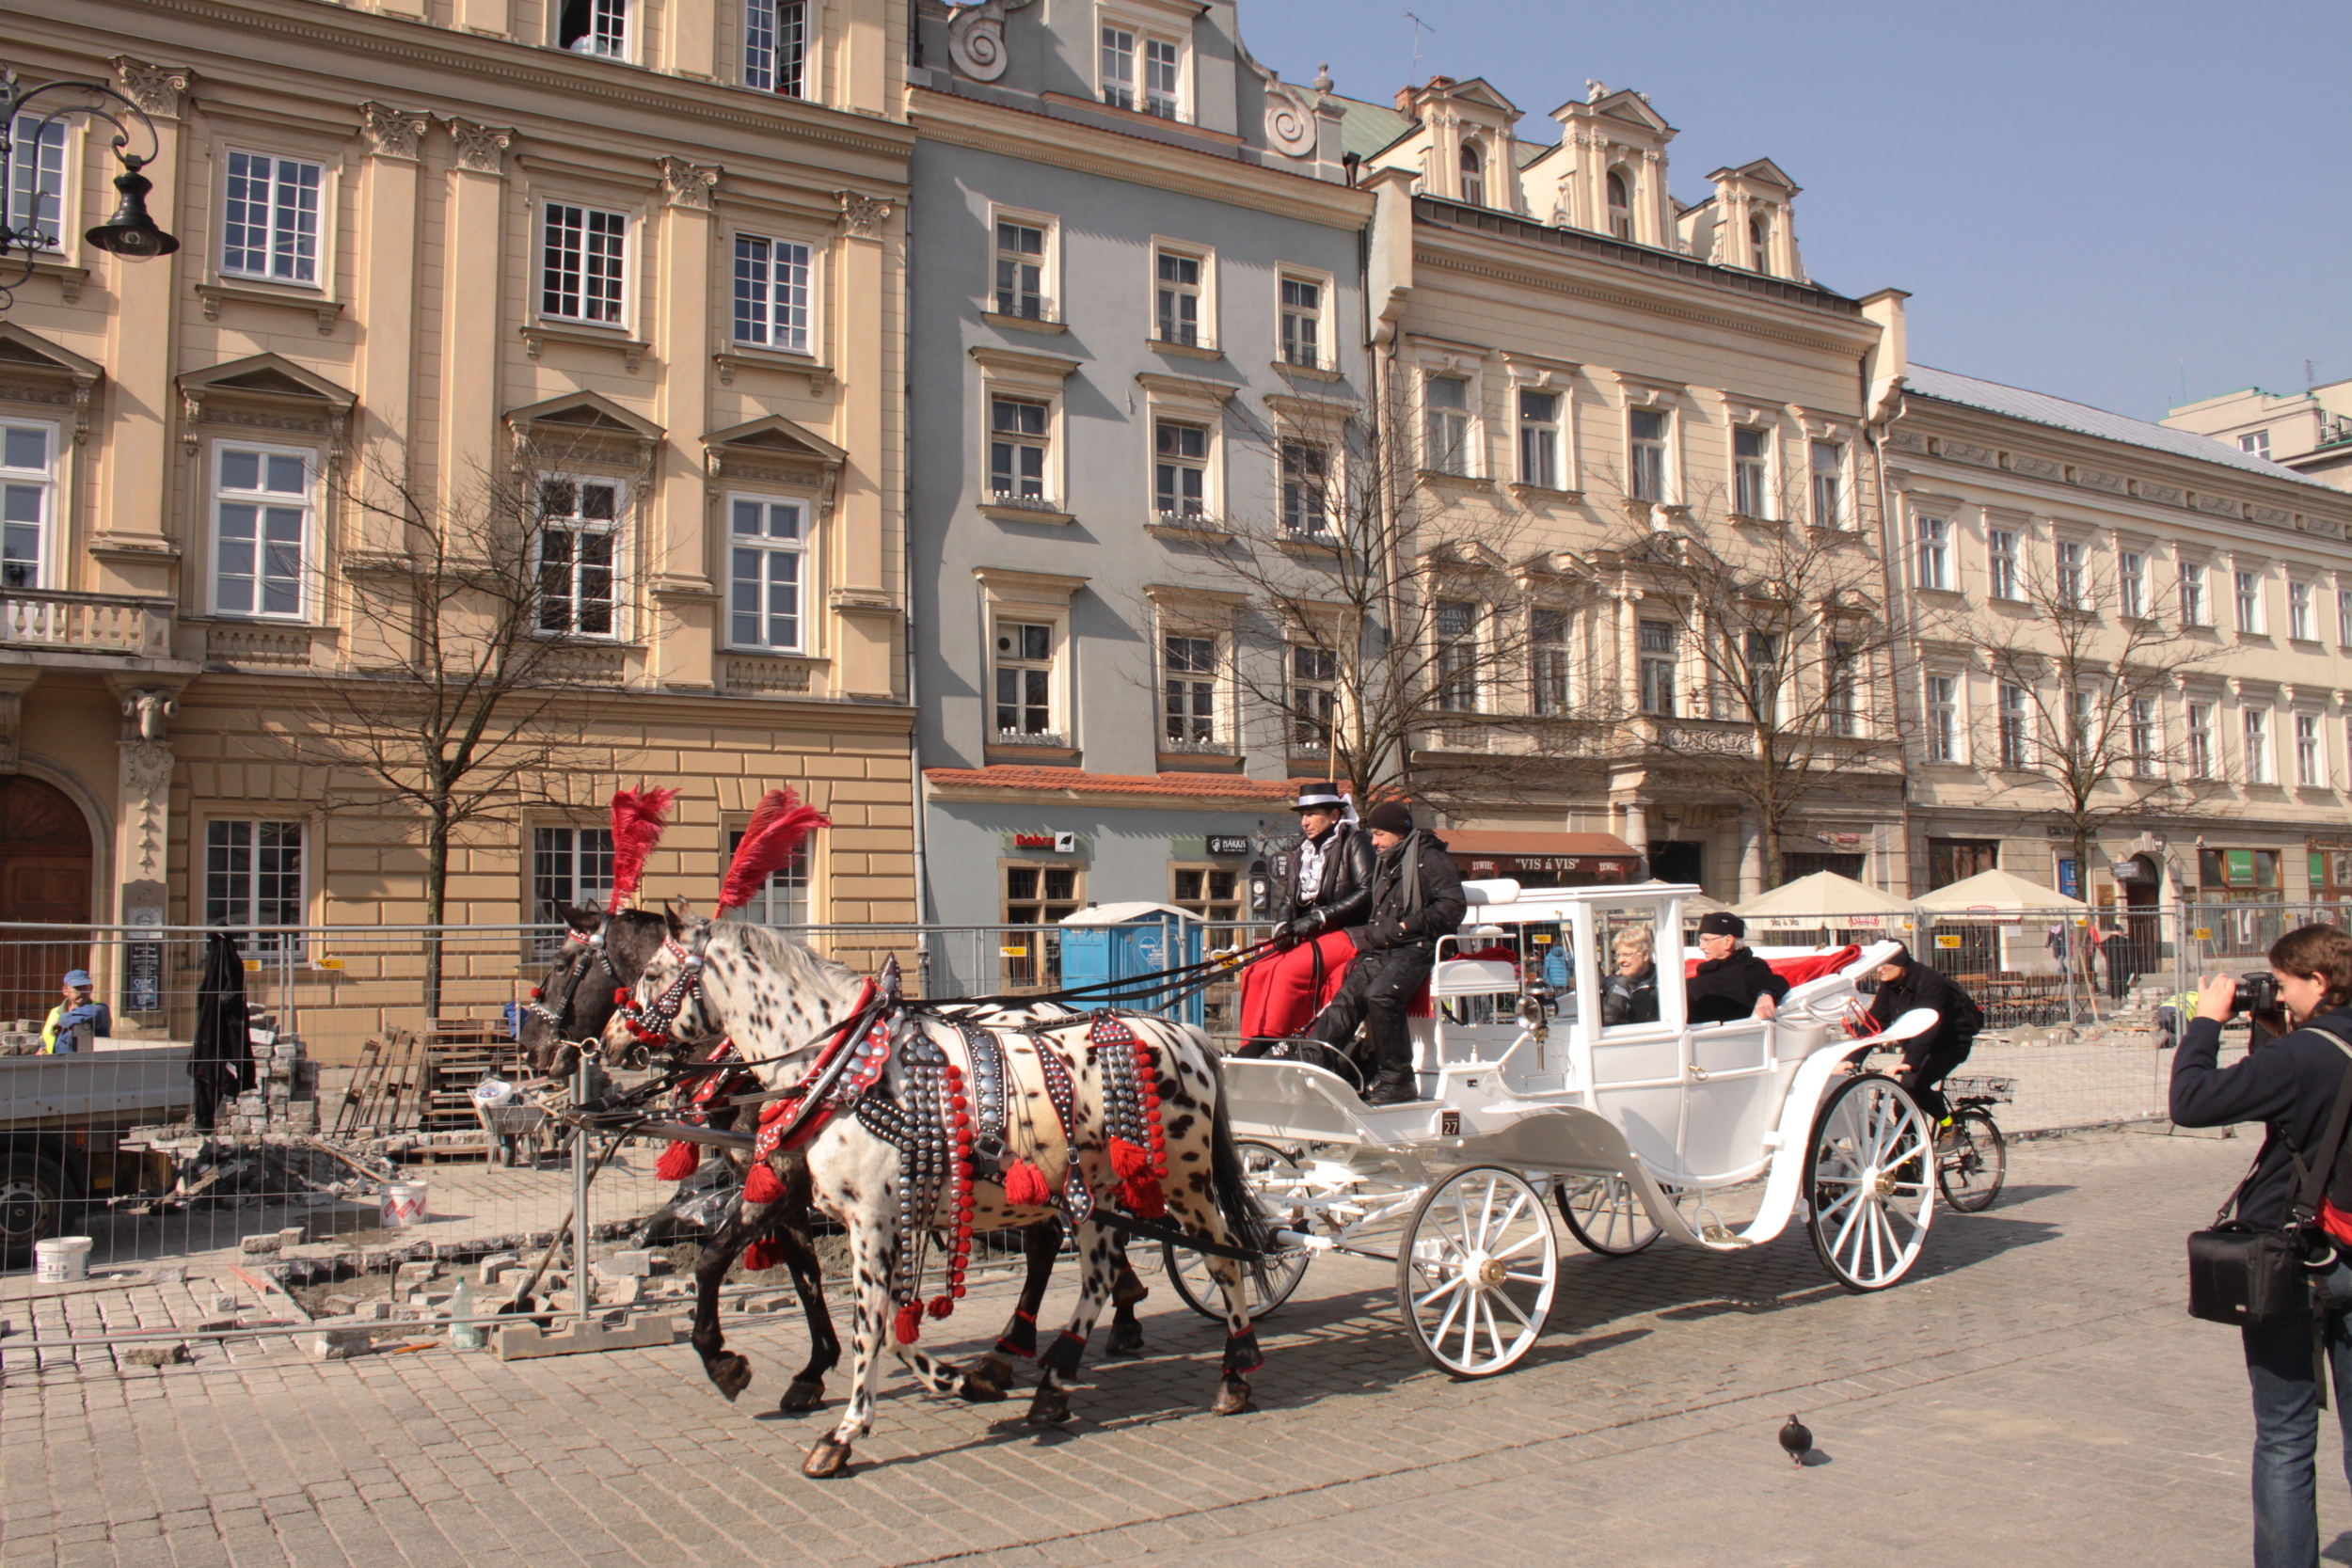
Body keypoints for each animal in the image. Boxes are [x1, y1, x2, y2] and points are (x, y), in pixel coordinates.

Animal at [612, 789, 1270, 1476]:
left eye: (652, 973)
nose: (611, 1040)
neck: (845, 1063)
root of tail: (1180, 1032)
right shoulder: (838, 1205)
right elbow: (777, 1279)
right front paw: (944, 1377)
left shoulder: (870, 1215)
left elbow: (868, 1319)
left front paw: (843, 1431)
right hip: (1094, 1190)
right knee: (1096, 1270)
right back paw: (1051, 1380)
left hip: (1186, 1179)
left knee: (1223, 1256)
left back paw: (1234, 1369)